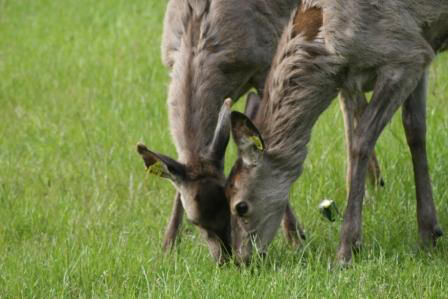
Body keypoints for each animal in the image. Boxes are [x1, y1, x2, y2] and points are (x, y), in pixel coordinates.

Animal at [228, 1, 448, 266]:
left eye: (240, 206)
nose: (239, 259)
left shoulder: (407, 54)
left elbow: (361, 140)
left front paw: (346, 249)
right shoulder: (420, 46)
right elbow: (414, 129)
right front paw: (429, 234)